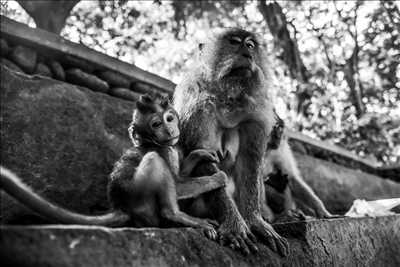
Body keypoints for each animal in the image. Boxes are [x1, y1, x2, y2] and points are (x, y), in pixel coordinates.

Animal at [0, 96, 227, 241]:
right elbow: (178, 185)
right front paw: (217, 179)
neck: (152, 142)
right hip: (141, 199)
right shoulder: (164, 150)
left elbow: (180, 176)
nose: (170, 129)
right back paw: (177, 216)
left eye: (169, 118)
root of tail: (120, 206)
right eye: (156, 124)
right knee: (153, 161)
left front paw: (198, 155)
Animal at [173, 28, 332, 256]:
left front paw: (255, 222)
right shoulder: (197, 103)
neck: (228, 97)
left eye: (250, 45)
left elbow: (249, 163)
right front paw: (235, 225)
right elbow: (203, 157)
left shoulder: (255, 113)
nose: (247, 54)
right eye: (234, 42)